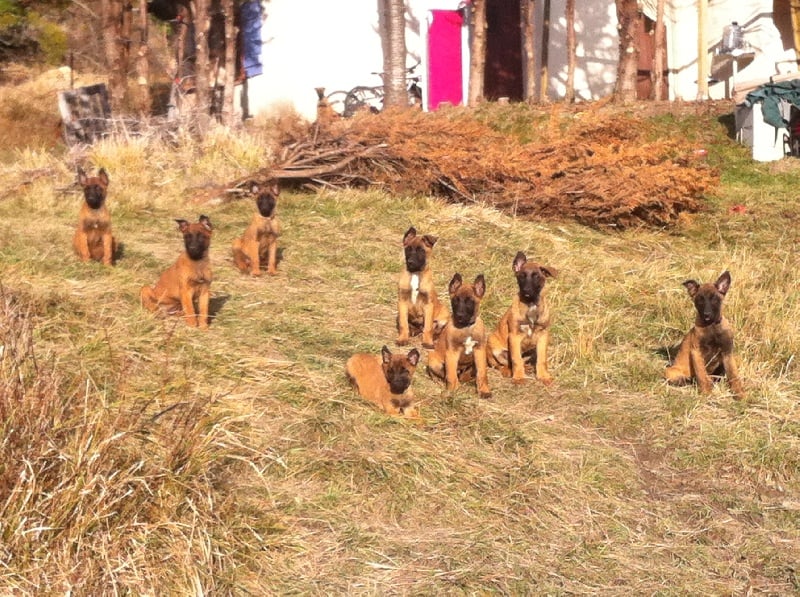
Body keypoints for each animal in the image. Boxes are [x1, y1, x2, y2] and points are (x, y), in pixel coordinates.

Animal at [488, 251, 556, 386]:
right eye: (521, 276)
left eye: (536, 276)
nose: (526, 291)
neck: (531, 306)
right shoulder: (514, 337)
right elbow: (516, 359)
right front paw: (519, 378)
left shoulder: (543, 336)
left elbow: (542, 359)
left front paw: (543, 376)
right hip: (493, 346)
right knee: (501, 365)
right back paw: (508, 371)